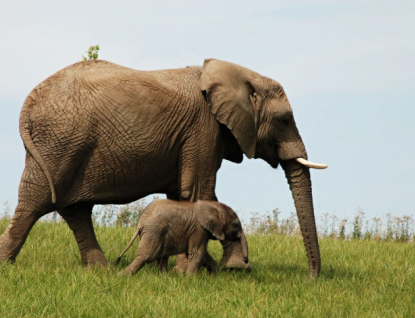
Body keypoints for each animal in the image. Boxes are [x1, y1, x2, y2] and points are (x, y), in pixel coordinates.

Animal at [115, 199, 249, 276]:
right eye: (236, 224)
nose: (246, 260)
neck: (212, 205)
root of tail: (141, 222)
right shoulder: (199, 228)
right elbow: (197, 253)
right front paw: (189, 280)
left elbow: (203, 254)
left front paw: (216, 276)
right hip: (154, 231)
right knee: (146, 256)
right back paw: (120, 276)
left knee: (161, 256)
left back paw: (164, 278)